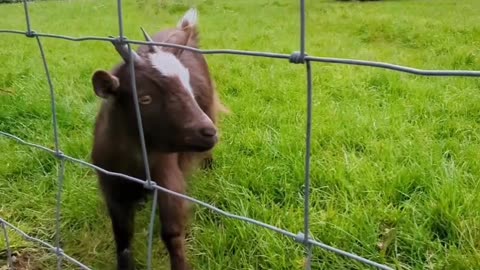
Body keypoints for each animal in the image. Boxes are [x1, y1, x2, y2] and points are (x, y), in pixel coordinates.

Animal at [90, 8, 227, 270]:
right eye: (144, 98)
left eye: (188, 87)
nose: (208, 132)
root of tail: (185, 30)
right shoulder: (111, 185)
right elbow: (122, 236)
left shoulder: (167, 178)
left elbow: (172, 233)